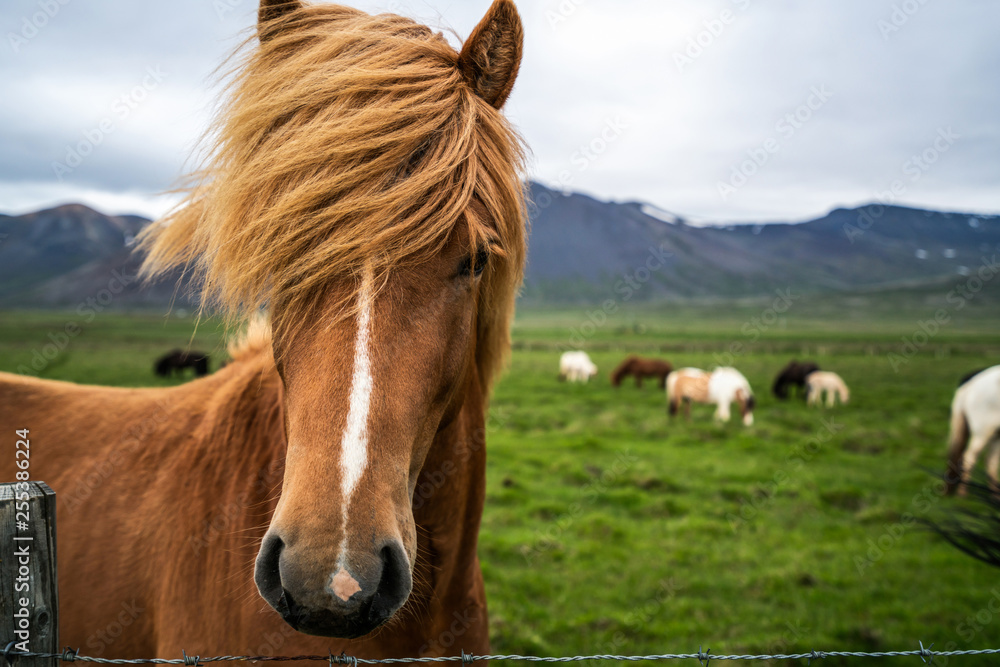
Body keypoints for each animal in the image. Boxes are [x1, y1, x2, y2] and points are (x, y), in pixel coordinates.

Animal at [944, 366, 1000, 496]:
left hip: (995, 434)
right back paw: (962, 495)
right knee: (969, 458)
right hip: (983, 433)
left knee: (991, 463)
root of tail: (972, 380)